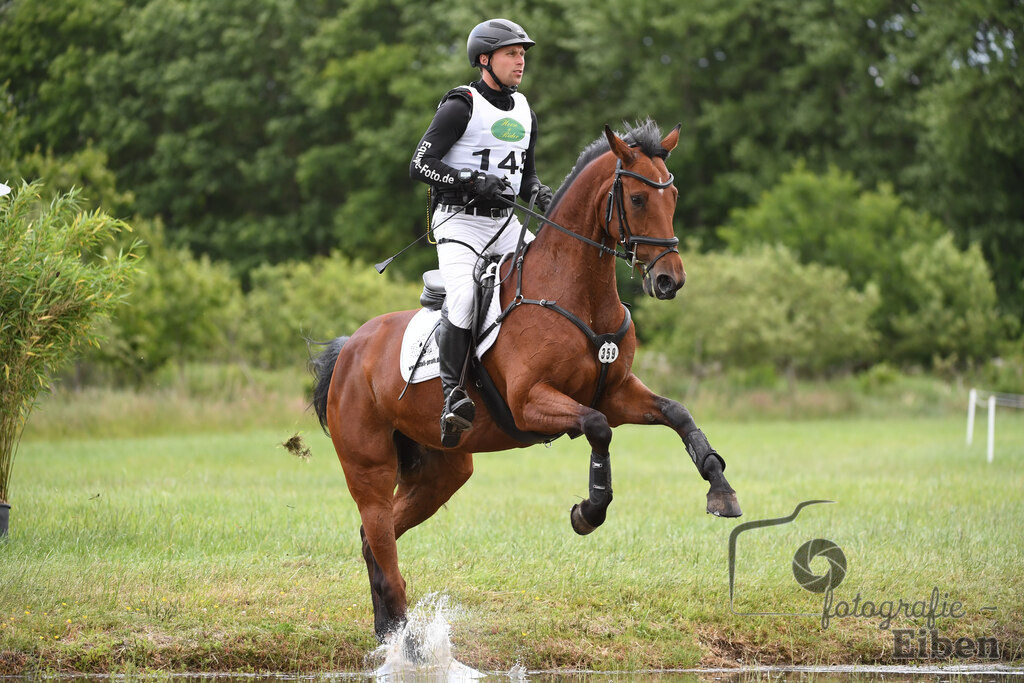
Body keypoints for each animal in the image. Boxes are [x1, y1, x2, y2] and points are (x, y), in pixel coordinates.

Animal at [310, 120, 742, 641]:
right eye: (638, 199)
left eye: (673, 195)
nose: (668, 281)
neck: (579, 294)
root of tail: (349, 347)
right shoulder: (531, 402)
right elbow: (597, 428)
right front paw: (589, 511)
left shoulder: (616, 392)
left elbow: (677, 413)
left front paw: (721, 490)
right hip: (369, 468)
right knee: (377, 531)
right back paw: (403, 640)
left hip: (442, 472)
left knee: (375, 538)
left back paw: (389, 631)